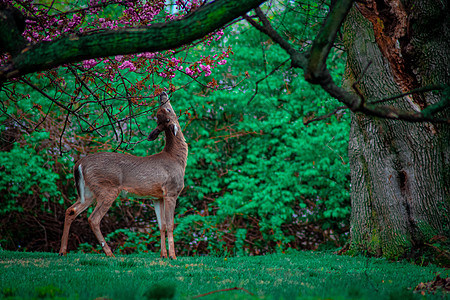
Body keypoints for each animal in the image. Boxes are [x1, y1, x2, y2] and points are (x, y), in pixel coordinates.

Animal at [59, 92, 187, 258]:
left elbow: (162, 226)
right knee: (93, 219)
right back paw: (109, 253)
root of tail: (79, 164)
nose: (162, 94)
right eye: (167, 109)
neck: (177, 159)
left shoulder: (157, 196)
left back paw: (62, 251)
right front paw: (173, 256)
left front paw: (163, 255)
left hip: (88, 192)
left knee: (71, 210)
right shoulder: (171, 191)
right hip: (107, 189)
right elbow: (171, 225)